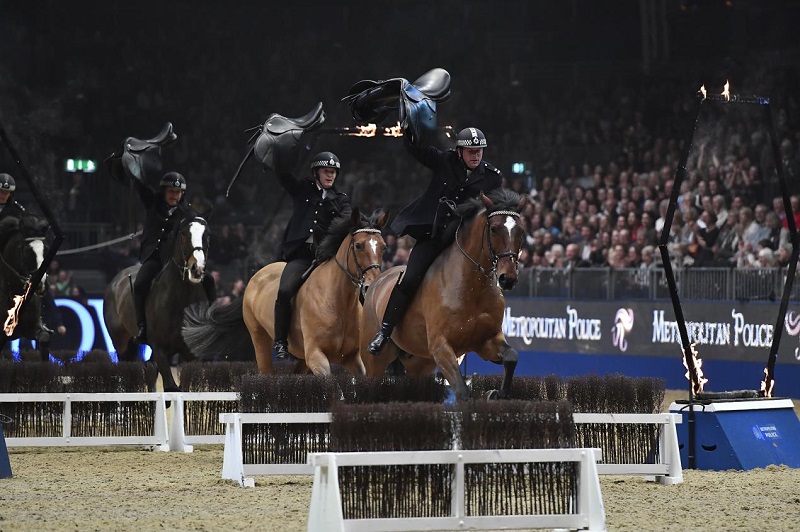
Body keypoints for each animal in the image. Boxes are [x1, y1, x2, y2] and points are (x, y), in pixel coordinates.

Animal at [103, 215, 209, 390]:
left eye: (206, 235)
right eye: (183, 234)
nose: (197, 269)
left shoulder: (190, 354)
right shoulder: (160, 349)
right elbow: (171, 387)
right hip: (121, 343)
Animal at [182, 208, 388, 378]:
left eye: (383, 246)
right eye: (358, 245)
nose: (372, 285)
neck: (338, 302)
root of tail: (257, 275)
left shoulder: (352, 358)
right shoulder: (316, 356)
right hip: (260, 340)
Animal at [360, 189, 524, 402]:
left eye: (521, 231)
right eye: (494, 229)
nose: (508, 278)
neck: (472, 288)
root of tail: (376, 282)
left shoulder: (486, 341)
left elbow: (511, 357)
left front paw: (498, 393)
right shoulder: (441, 348)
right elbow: (462, 392)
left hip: (419, 363)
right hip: (375, 362)